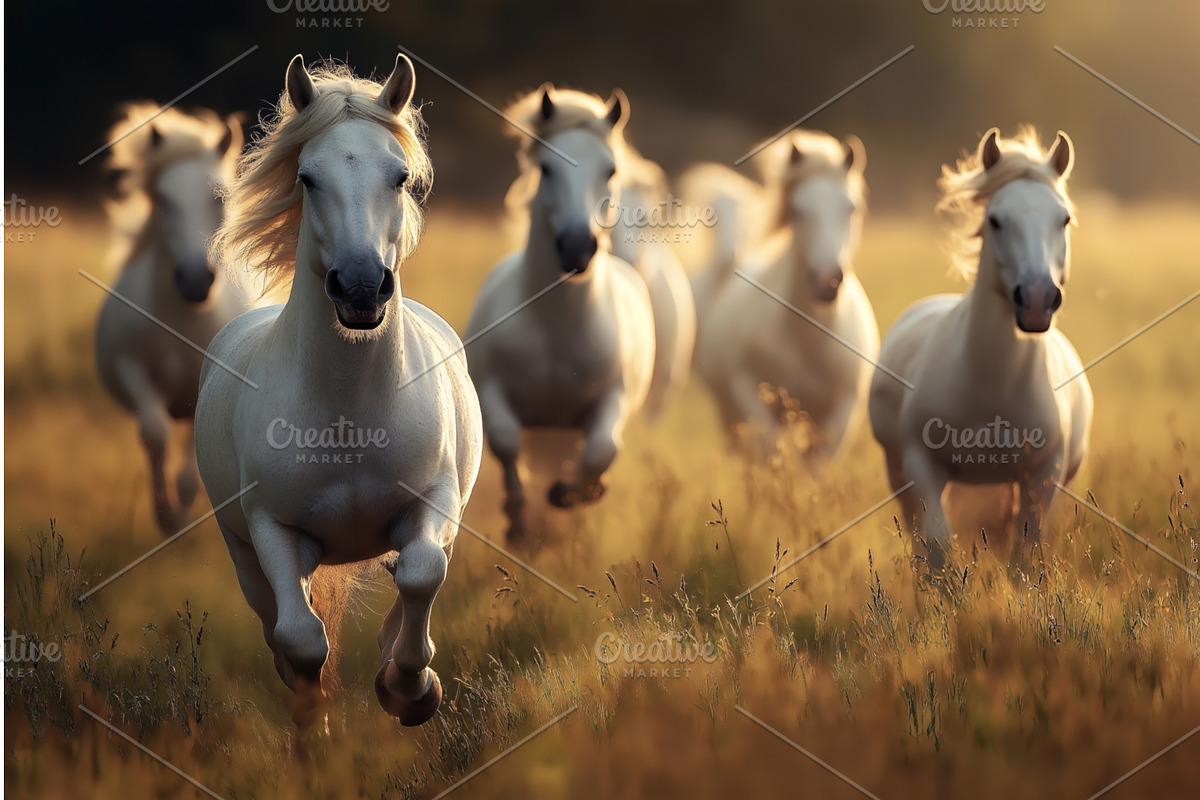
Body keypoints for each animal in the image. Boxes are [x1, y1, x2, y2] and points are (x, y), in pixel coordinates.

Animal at [94, 103, 248, 533]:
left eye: (220, 199)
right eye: (163, 198)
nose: (195, 280)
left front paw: (181, 508)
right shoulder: (129, 367)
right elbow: (154, 433)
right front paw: (167, 517)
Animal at [194, 55, 482, 727]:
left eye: (400, 177)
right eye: (307, 178)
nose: (359, 287)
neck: (350, 409)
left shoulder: (434, 501)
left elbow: (422, 572)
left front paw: (410, 688)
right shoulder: (272, 528)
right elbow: (301, 639)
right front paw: (313, 722)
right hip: (244, 553)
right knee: (277, 622)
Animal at [465, 84, 656, 541]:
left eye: (610, 170)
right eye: (547, 168)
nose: (576, 247)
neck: (557, 329)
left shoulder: (613, 397)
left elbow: (602, 449)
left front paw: (571, 493)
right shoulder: (492, 391)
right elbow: (506, 441)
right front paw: (517, 520)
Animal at [684, 130, 879, 459]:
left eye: (851, 209)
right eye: (798, 211)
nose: (826, 280)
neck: (806, 342)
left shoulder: (841, 414)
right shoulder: (747, 394)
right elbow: (770, 450)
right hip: (727, 409)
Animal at [868, 127, 1093, 568]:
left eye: (1064, 219)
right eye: (995, 220)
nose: (1037, 298)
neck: (993, 384)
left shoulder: (1044, 473)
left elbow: (1024, 556)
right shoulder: (922, 466)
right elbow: (936, 551)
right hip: (897, 472)